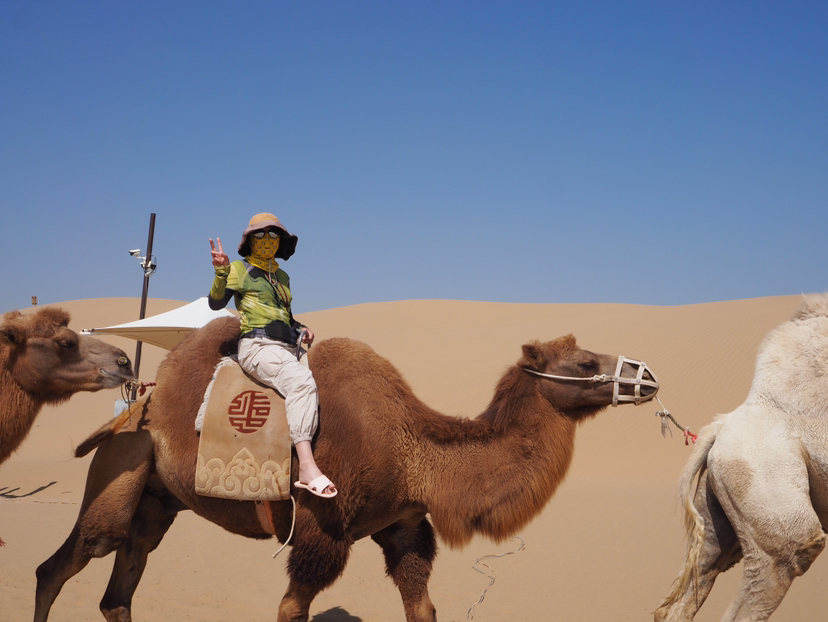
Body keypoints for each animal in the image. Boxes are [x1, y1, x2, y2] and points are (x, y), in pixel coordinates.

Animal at [34, 317, 659, 622]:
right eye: (584, 362)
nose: (649, 375)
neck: (414, 451)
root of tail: (142, 397)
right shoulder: (320, 530)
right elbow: (291, 608)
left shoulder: (404, 526)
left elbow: (422, 606)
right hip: (121, 467)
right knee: (60, 564)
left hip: (157, 500)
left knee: (120, 587)